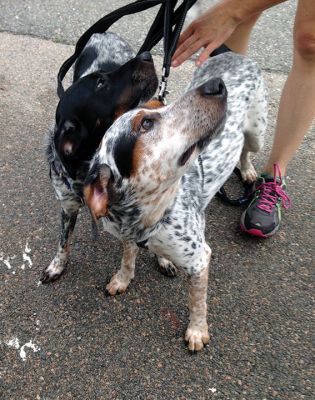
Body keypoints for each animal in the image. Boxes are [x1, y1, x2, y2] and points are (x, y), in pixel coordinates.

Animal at [42, 33, 159, 284]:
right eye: (100, 83)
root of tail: (103, 33)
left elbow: (130, 250)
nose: (147, 55)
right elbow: (63, 241)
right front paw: (57, 265)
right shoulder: (68, 207)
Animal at [83, 51, 266, 352]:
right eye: (146, 123)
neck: (151, 214)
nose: (216, 85)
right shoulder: (127, 234)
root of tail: (231, 53)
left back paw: (248, 170)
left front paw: (197, 330)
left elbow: (197, 302)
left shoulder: (200, 259)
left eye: (161, 104)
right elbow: (128, 259)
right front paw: (123, 278)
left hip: (256, 134)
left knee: (246, 151)